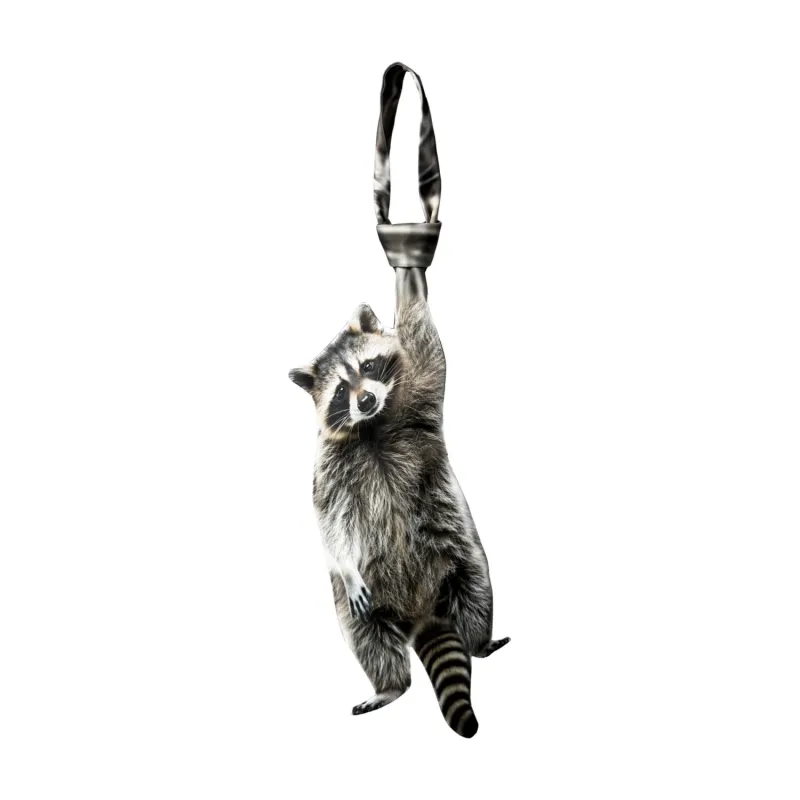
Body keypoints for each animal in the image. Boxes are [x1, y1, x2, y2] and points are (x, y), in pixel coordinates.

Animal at [289, 268, 509, 737]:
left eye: (368, 366)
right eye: (340, 390)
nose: (367, 400)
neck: (371, 427)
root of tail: (423, 614)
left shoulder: (422, 396)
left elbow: (427, 345)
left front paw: (410, 277)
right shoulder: (327, 465)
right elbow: (329, 519)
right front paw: (344, 561)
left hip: (460, 553)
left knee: (477, 590)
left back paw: (478, 641)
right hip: (358, 602)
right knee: (365, 635)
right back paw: (390, 685)